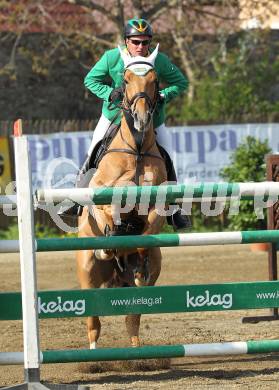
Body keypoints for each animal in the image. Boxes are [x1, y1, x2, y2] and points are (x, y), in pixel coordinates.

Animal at [76, 45, 167, 348]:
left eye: (155, 81)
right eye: (125, 80)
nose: (141, 119)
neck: (136, 150)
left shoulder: (159, 204)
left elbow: (148, 228)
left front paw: (138, 257)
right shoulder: (103, 194)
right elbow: (110, 212)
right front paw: (112, 237)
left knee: (132, 319)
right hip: (87, 272)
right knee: (93, 323)